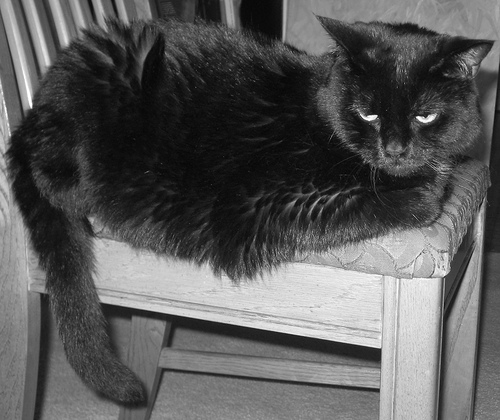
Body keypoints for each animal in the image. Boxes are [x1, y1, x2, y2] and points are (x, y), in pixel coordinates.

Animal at [6, 16, 492, 404]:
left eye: (425, 116)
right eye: (367, 114)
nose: (394, 149)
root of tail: (35, 108)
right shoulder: (271, 205)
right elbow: (415, 197)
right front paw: (429, 184)